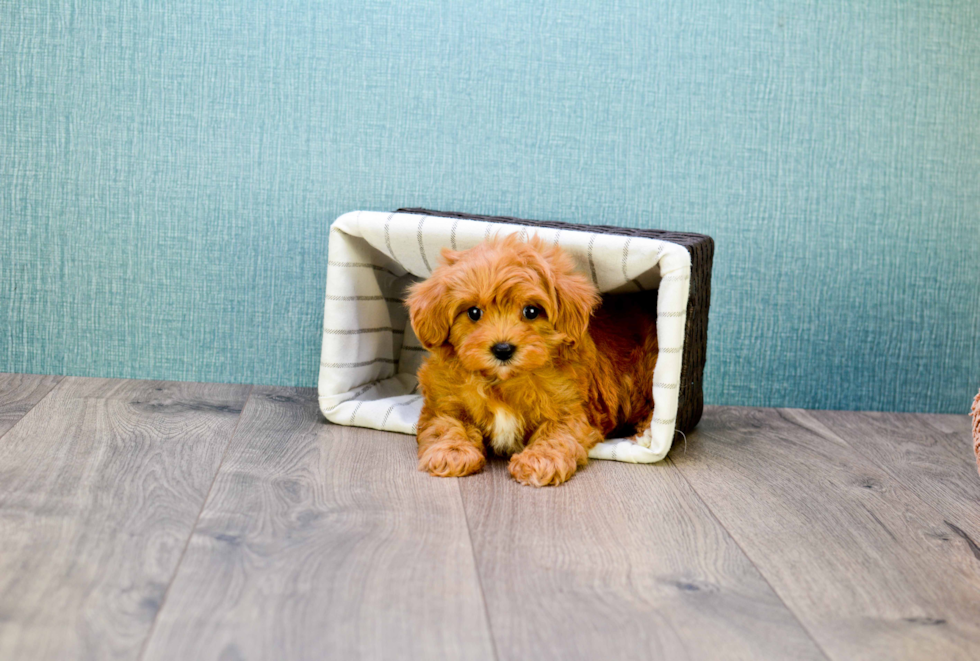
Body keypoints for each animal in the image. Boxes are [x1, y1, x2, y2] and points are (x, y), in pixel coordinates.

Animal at [406, 232, 660, 484]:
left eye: (531, 311)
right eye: (474, 312)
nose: (503, 349)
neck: (502, 381)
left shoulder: (570, 408)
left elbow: (557, 433)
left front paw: (540, 459)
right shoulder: (442, 401)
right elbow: (445, 423)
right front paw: (452, 452)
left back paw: (647, 434)